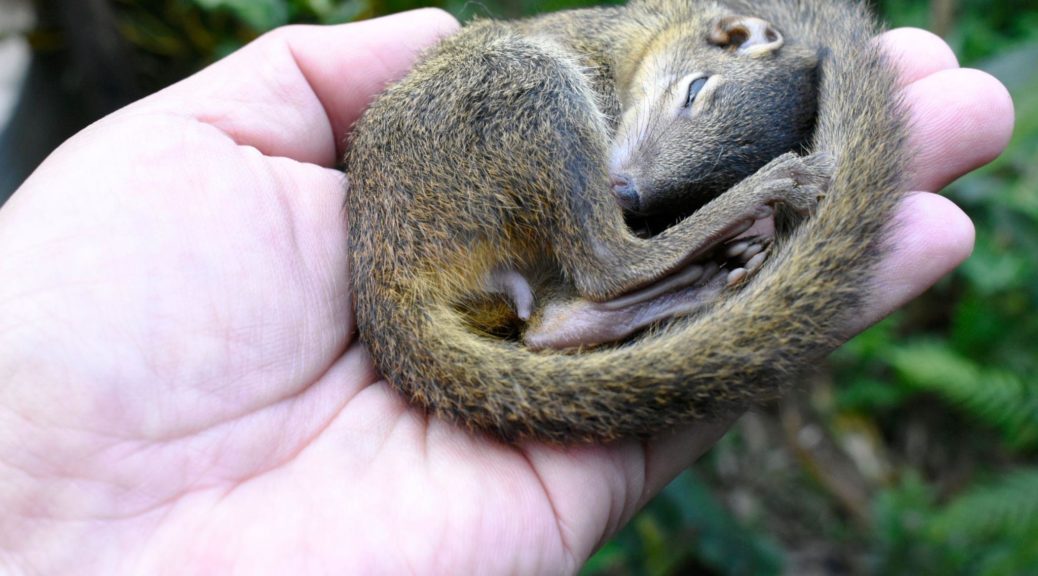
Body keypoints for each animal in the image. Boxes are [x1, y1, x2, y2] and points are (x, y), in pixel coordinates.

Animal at [344, 0, 905, 444]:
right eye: (694, 91)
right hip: (526, 81)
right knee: (606, 264)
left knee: (550, 322)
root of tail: (379, 265)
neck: (635, 36)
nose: (630, 195)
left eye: (710, 179)